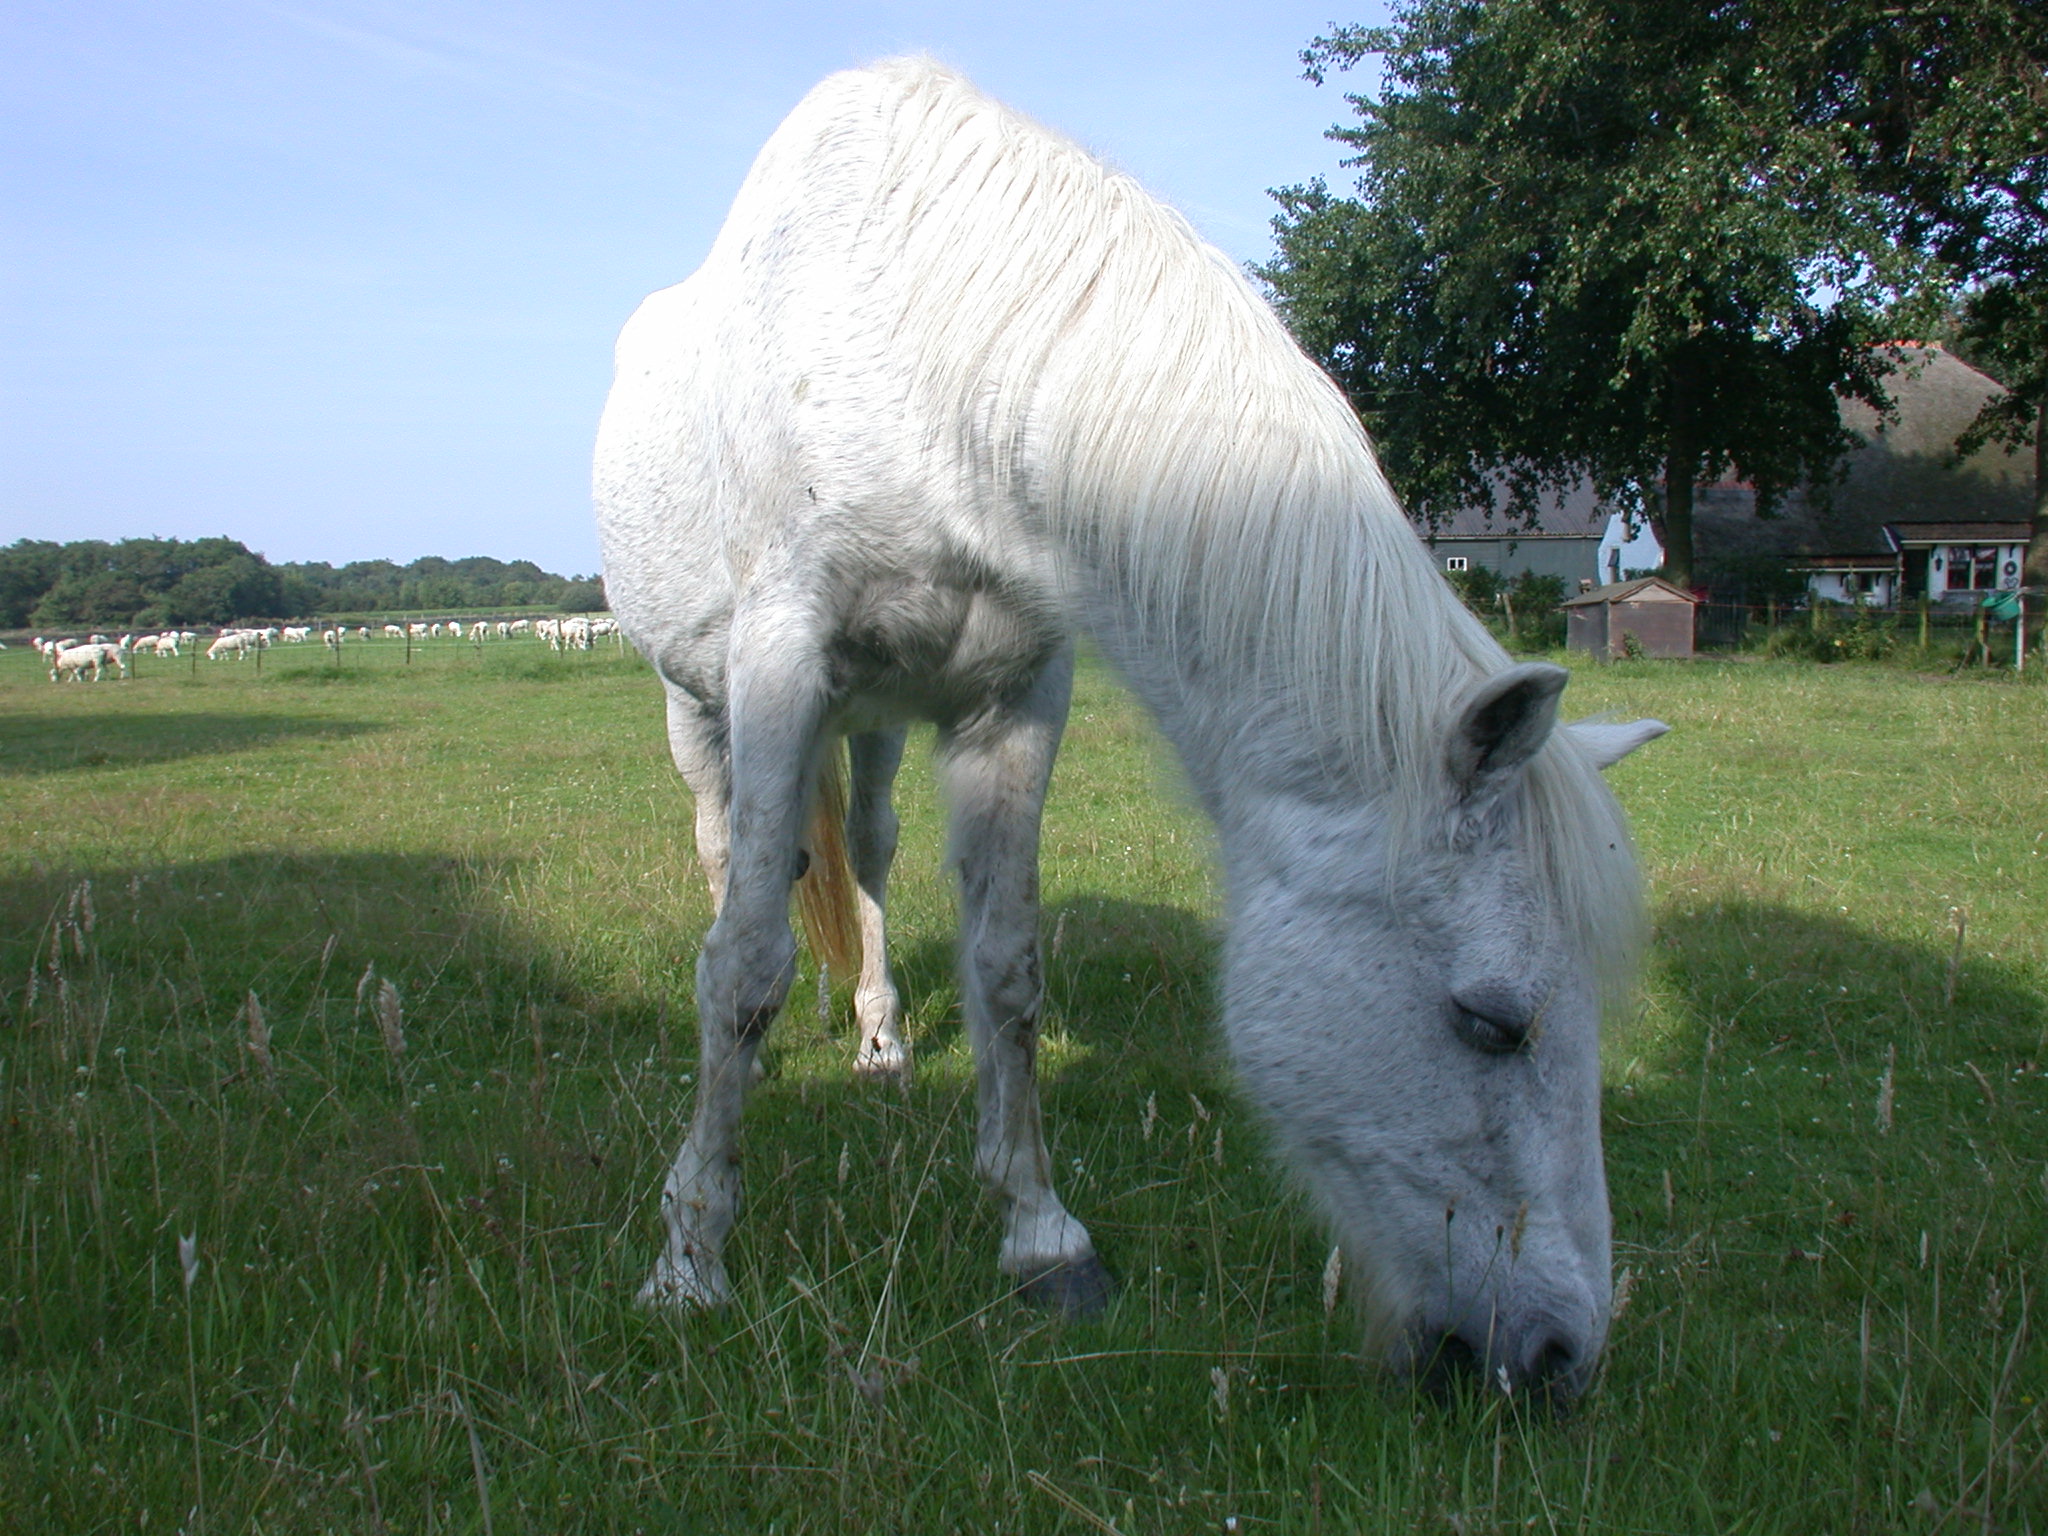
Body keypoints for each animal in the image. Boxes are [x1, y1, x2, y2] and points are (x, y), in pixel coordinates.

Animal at [593, 60, 1662, 1409]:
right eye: (1490, 1020)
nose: (1560, 1356)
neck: (931, 367)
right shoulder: (778, 665)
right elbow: (740, 969)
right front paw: (688, 1260)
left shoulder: (1012, 701)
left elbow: (1007, 971)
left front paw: (1041, 1239)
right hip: (699, 706)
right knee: (728, 865)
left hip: (873, 724)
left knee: (870, 857)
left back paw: (882, 1042)